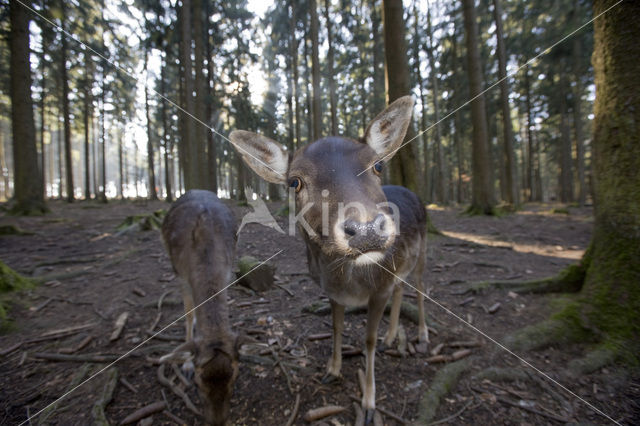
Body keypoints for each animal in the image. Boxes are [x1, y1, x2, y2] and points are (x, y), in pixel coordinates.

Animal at [160, 191, 240, 426]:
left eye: (234, 377)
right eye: (197, 382)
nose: (217, 421)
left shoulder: (227, 272)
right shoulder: (181, 276)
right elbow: (188, 314)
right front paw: (185, 364)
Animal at [228, 95, 428, 422]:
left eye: (378, 165)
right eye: (294, 182)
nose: (366, 229)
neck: (350, 281)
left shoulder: (379, 288)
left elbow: (367, 340)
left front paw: (369, 403)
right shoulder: (332, 292)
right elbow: (336, 327)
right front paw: (332, 371)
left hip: (423, 252)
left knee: (421, 289)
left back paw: (421, 335)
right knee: (401, 287)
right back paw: (391, 338)